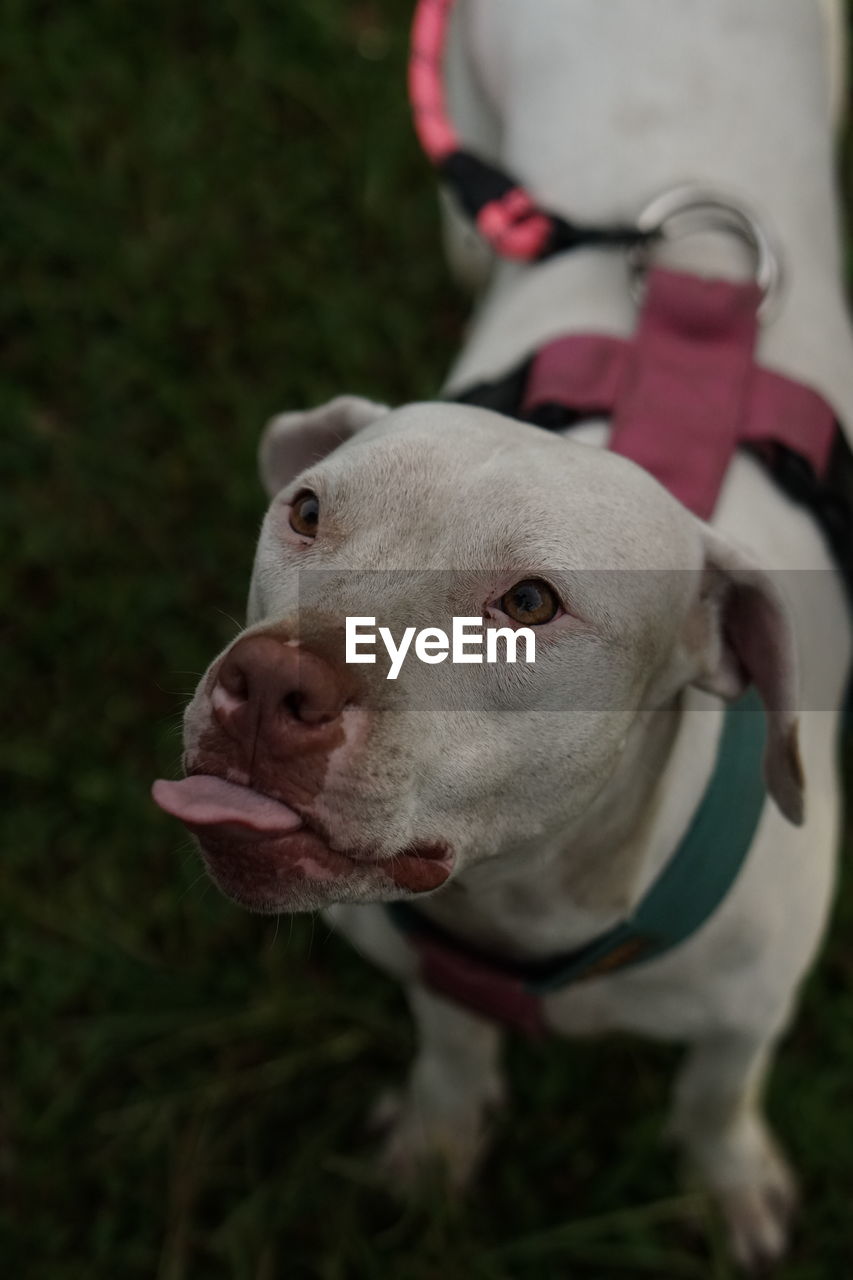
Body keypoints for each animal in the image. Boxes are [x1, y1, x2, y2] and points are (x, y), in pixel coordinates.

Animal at [154, 5, 850, 1269]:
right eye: (307, 511)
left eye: (531, 603)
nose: (266, 684)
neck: (534, 896)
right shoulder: (426, 956)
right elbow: (451, 1037)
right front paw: (437, 1141)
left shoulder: (750, 1009)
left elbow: (713, 1095)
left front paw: (727, 1184)